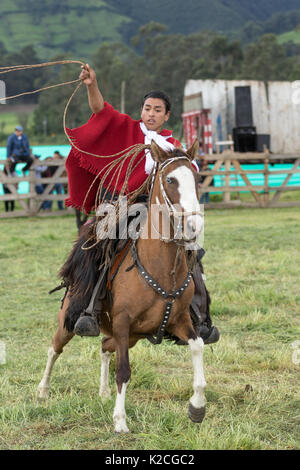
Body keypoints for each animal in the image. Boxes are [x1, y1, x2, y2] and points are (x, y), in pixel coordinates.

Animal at [37, 140, 206, 434]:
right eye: (170, 179)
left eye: (196, 179)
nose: (194, 226)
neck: (160, 267)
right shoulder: (123, 322)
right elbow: (124, 370)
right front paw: (120, 420)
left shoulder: (180, 321)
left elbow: (197, 346)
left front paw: (197, 406)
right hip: (71, 319)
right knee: (54, 348)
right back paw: (43, 391)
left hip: (133, 335)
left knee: (105, 346)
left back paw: (104, 392)